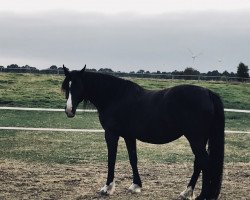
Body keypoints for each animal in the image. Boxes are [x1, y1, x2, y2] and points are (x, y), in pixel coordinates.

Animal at [61, 65, 225, 200]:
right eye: (67, 87)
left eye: (78, 86)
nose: (69, 111)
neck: (114, 96)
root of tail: (208, 92)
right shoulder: (129, 136)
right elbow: (133, 159)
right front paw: (135, 186)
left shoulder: (111, 134)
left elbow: (111, 160)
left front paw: (107, 188)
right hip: (199, 139)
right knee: (199, 163)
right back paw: (187, 192)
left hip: (195, 139)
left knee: (204, 162)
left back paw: (202, 196)